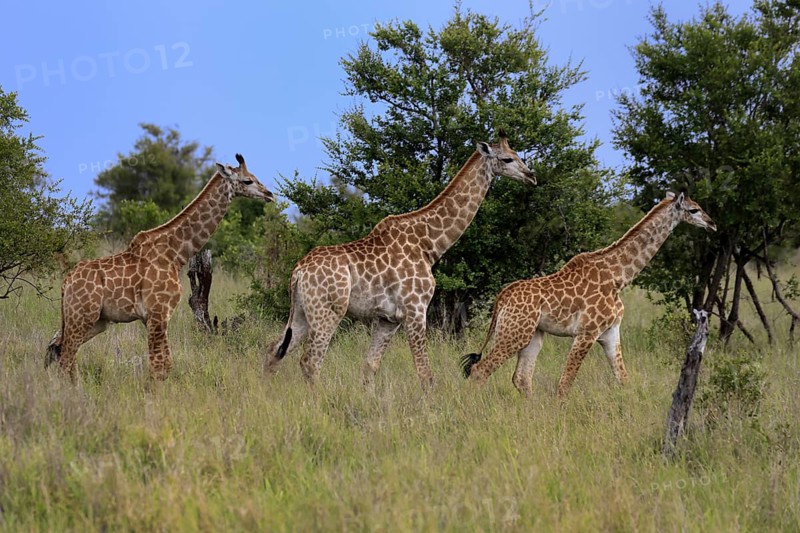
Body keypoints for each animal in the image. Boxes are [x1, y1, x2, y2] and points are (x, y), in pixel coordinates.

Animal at [45, 154, 274, 381]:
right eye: (247, 180)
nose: (269, 195)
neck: (176, 254)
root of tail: (66, 283)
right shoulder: (158, 312)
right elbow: (160, 366)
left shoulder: (153, 317)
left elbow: (164, 365)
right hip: (82, 316)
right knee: (65, 356)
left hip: (94, 320)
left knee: (57, 348)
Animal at [264, 130, 536, 389]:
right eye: (507, 158)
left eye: (518, 155)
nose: (531, 176)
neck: (429, 245)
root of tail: (298, 271)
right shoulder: (415, 310)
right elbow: (425, 374)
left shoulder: (388, 319)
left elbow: (370, 366)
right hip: (328, 310)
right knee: (310, 361)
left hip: (302, 311)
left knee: (274, 351)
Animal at [461, 192, 716, 399]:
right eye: (693, 209)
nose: (712, 223)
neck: (619, 277)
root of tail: (502, 297)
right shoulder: (587, 332)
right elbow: (565, 384)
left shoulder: (610, 333)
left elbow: (624, 379)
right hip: (514, 333)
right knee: (480, 370)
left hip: (532, 335)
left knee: (521, 378)